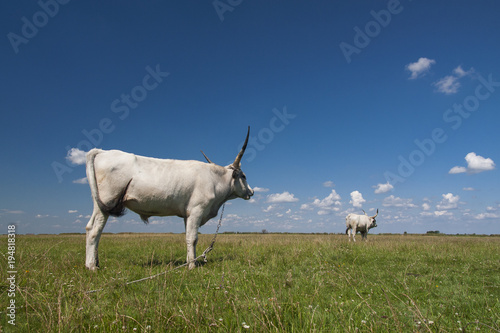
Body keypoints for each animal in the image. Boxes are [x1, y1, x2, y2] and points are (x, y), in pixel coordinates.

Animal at [85, 127, 254, 270]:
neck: (214, 179)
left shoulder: (187, 215)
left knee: (89, 228)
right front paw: (192, 266)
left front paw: (189, 261)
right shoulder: (197, 210)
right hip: (106, 201)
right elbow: (193, 238)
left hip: (99, 203)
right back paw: (92, 266)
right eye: (244, 176)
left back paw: (93, 263)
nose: (252, 192)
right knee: (94, 231)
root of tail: (102, 152)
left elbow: (188, 237)